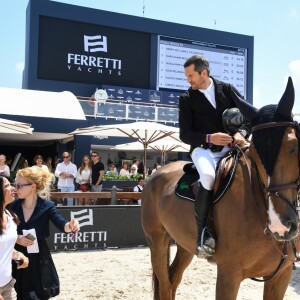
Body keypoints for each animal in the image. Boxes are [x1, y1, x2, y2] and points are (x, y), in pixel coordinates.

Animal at [141, 78, 300, 300]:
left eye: (293, 146)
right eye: (254, 152)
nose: (281, 226)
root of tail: (156, 173)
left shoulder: (281, 275)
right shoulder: (229, 274)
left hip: (184, 245)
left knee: (173, 279)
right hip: (156, 241)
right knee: (164, 285)